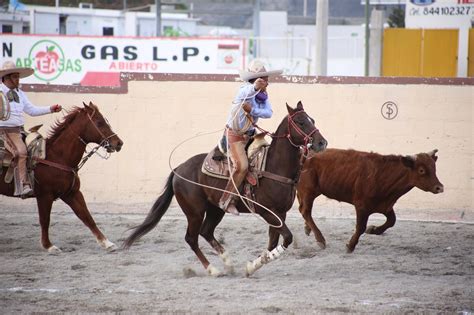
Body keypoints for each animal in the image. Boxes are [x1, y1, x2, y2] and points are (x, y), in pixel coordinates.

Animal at [0, 102, 124, 253]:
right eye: (99, 122)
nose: (119, 143)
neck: (57, 157)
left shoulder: (72, 193)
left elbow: (87, 217)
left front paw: (107, 243)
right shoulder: (45, 196)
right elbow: (45, 220)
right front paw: (48, 246)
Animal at [124, 102, 328, 278]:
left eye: (312, 120)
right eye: (300, 121)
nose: (322, 143)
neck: (273, 167)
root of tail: (178, 169)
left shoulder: (280, 215)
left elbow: (272, 244)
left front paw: (252, 266)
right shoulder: (268, 212)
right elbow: (287, 238)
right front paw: (253, 265)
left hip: (215, 209)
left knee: (206, 232)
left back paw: (228, 264)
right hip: (195, 212)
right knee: (192, 238)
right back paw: (213, 270)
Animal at [296, 149, 444, 254]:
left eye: (434, 168)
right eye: (421, 170)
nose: (440, 187)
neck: (382, 175)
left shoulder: (386, 206)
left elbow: (391, 221)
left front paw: (373, 229)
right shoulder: (362, 206)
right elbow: (360, 227)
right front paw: (350, 246)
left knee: (302, 207)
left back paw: (307, 228)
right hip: (308, 190)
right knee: (305, 211)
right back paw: (320, 240)